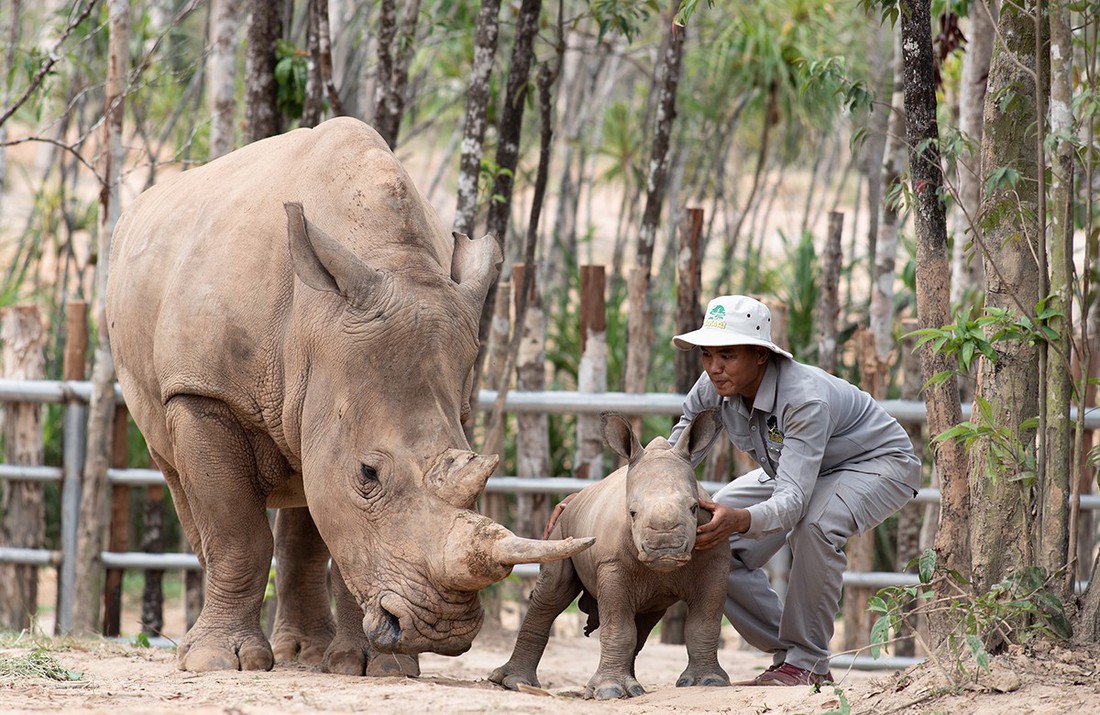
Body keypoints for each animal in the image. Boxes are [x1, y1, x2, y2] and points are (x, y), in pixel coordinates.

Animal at [107, 114, 594, 673]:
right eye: (368, 473)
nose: (442, 630)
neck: (313, 326)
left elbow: (341, 528)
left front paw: (374, 666)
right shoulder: (204, 393)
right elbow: (237, 533)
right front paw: (217, 662)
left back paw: (307, 654)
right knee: (182, 479)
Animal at [490, 407, 730, 695]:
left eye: (695, 508)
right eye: (632, 513)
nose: (665, 550)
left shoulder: (715, 561)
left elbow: (704, 624)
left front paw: (709, 681)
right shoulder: (612, 564)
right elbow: (618, 626)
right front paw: (609, 691)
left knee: (645, 619)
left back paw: (634, 688)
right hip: (559, 531)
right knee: (551, 595)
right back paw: (515, 682)